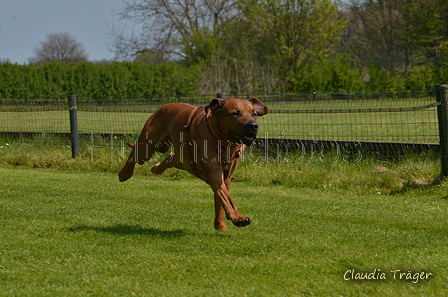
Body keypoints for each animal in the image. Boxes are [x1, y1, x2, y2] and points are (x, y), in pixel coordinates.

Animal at [117, 97, 268, 229]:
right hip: (148, 145)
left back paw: (157, 168)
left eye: (254, 114)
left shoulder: (226, 176)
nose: (253, 125)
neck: (224, 142)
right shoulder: (214, 173)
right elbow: (226, 197)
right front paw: (238, 218)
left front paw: (221, 225)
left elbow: (221, 200)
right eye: (235, 113)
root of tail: (163, 107)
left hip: (185, 159)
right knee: (135, 153)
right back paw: (124, 174)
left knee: (172, 157)